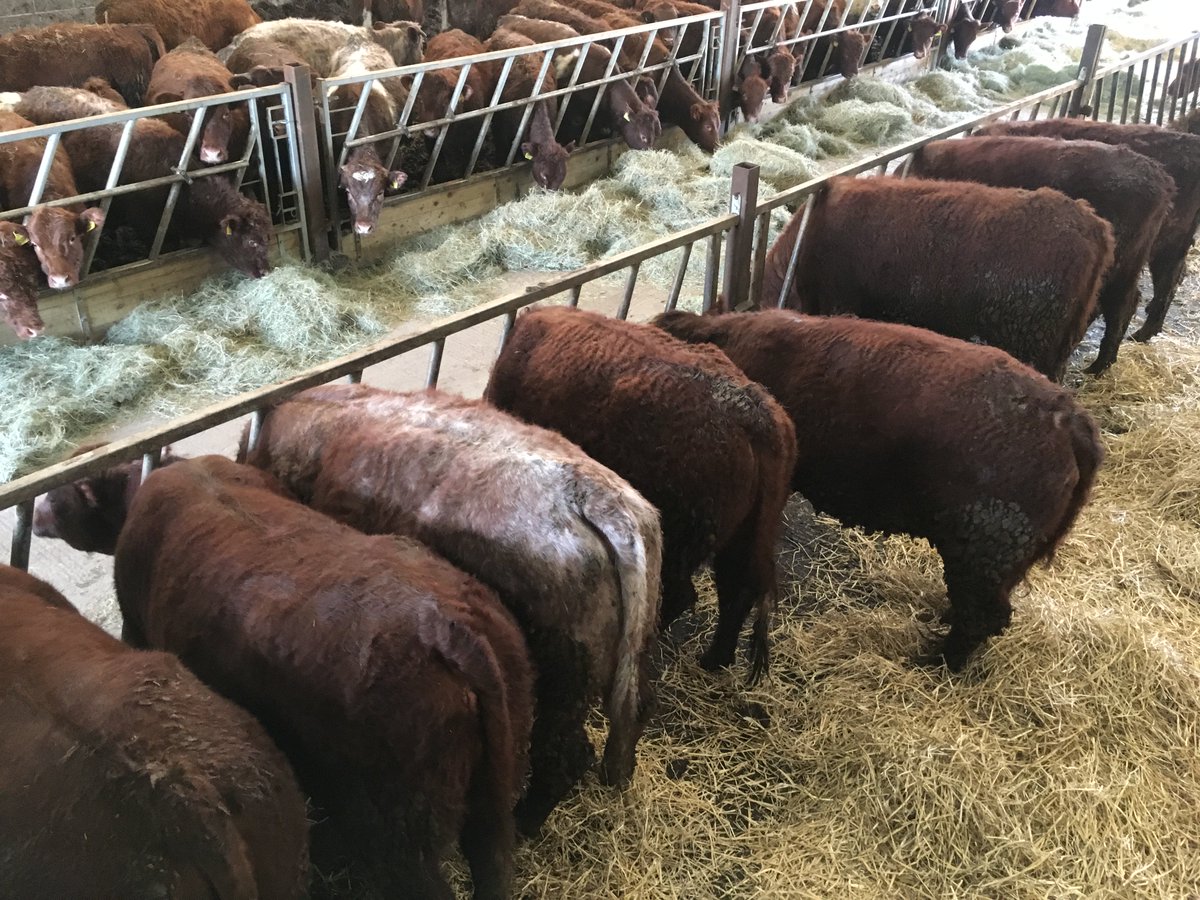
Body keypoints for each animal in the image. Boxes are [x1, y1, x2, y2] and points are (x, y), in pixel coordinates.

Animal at [33, 455, 534, 899]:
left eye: (58, 498)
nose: (36, 518)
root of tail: (447, 627)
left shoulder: (134, 627)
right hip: (493, 801)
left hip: (404, 835)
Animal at [485, 306, 797, 684]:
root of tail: (757, 418)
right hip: (741, 538)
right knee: (735, 590)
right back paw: (714, 659)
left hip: (679, 543)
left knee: (681, 596)